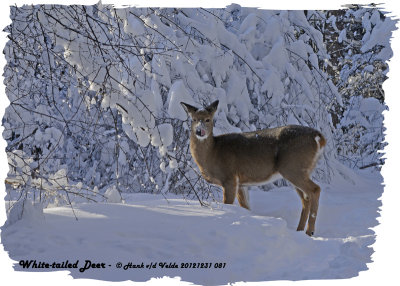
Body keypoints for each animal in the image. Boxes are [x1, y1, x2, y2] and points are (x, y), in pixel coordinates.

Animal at [181, 100, 324, 237]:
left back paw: (310, 231)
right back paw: (299, 231)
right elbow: (246, 207)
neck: (213, 153)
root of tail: (319, 137)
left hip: (293, 167)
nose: (199, 131)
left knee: (315, 189)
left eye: (208, 119)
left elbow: (228, 204)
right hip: (299, 171)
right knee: (306, 198)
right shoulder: (241, 183)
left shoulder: (229, 177)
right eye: (194, 119)